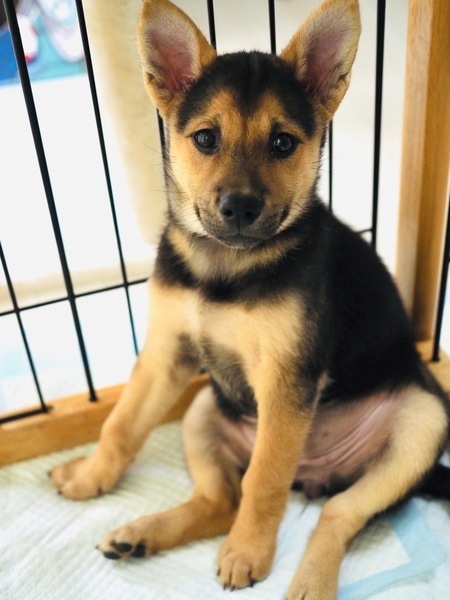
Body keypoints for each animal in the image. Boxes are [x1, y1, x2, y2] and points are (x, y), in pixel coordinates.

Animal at [50, 0, 450, 597]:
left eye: (283, 143)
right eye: (205, 139)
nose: (239, 207)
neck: (225, 267)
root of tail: (314, 476)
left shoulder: (287, 380)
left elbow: (264, 479)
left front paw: (248, 552)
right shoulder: (167, 353)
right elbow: (120, 423)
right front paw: (92, 474)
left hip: (423, 422)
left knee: (335, 513)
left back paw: (309, 578)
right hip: (200, 408)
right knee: (221, 500)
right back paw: (140, 534)